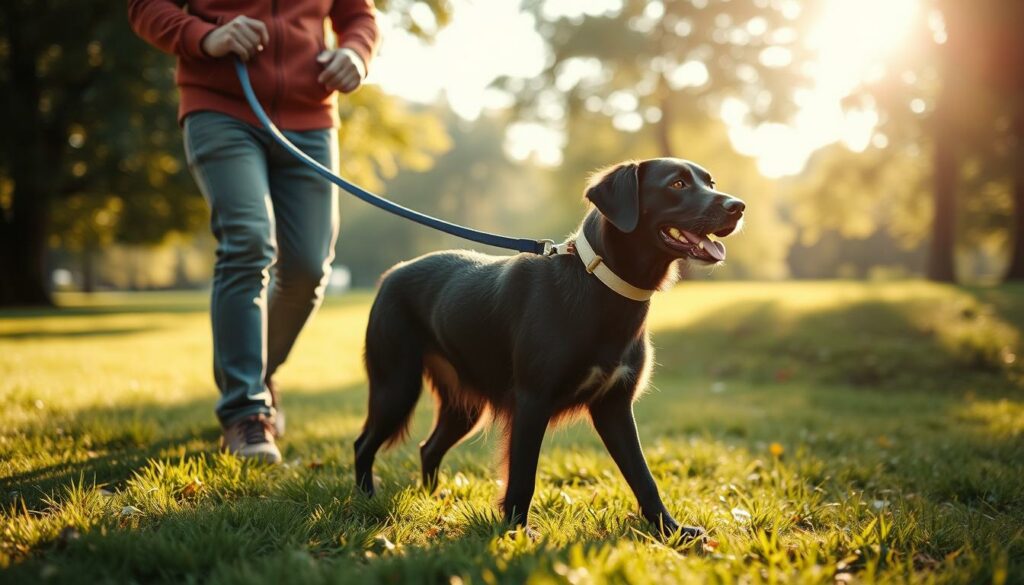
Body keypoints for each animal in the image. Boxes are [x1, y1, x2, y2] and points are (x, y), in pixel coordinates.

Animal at [358, 156, 745, 540]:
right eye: (677, 184)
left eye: (710, 182)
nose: (738, 206)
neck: (599, 284)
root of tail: (391, 274)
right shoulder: (532, 401)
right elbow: (523, 477)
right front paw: (516, 533)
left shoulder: (614, 405)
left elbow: (643, 477)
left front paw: (671, 530)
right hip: (396, 386)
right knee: (364, 444)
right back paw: (365, 501)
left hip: (463, 404)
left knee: (428, 448)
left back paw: (433, 500)